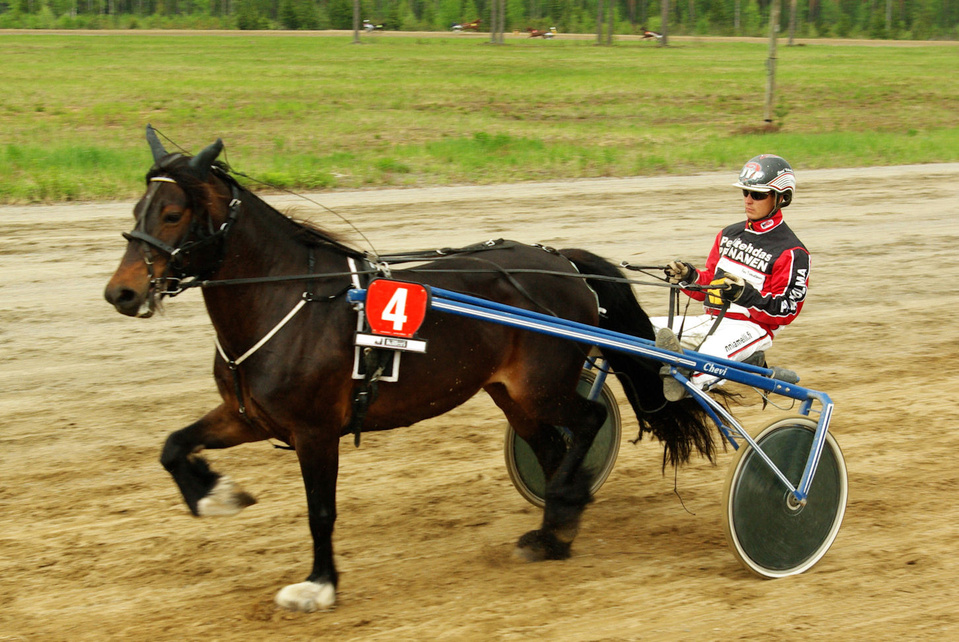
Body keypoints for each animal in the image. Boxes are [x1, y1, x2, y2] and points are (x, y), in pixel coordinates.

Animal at [104, 127, 718, 612]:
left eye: (174, 213)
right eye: (135, 212)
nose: (121, 293)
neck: (288, 298)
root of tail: (561, 262)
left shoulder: (313, 429)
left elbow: (320, 510)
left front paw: (319, 585)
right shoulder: (248, 416)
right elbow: (173, 445)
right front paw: (216, 493)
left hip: (541, 387)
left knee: (586, 422)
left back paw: (564, 510)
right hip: (511, 394)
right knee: (551, 447)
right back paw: (554, 532)